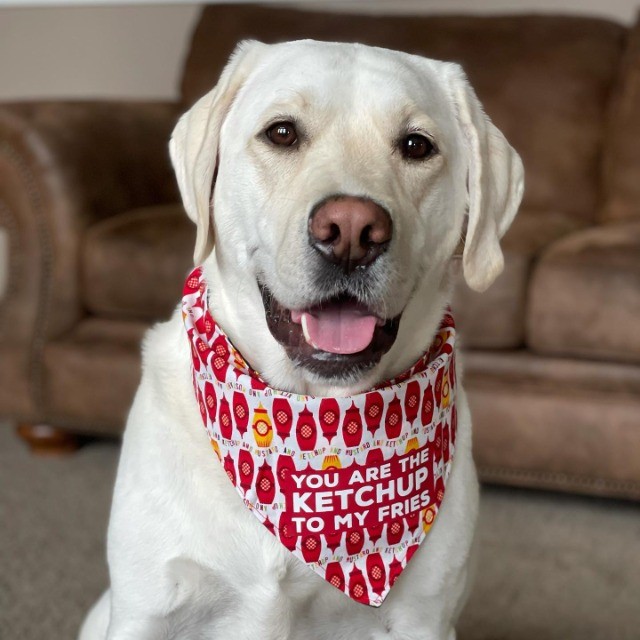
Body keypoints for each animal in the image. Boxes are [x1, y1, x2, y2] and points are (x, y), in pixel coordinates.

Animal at [80, 40, 524, 640]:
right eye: (283, 133)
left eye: (416, 145)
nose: (352, 231)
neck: (309, 414)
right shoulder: (146, 612)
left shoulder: (424, 619)